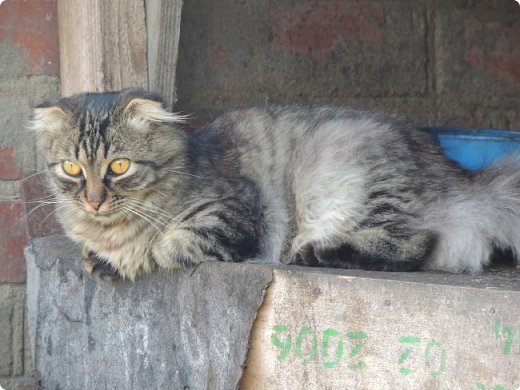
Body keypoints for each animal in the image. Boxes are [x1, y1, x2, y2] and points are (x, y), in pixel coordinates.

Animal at [30, 89, 520, 280]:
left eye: (119, 166)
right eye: (72, 169)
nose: (94, 201)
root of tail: (463, 181)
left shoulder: (232, 215)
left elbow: (168, 246)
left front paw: (134, 258)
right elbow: (97, 254)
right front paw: (102, 260)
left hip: (347, 179)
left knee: (413, 245)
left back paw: (314, 253)